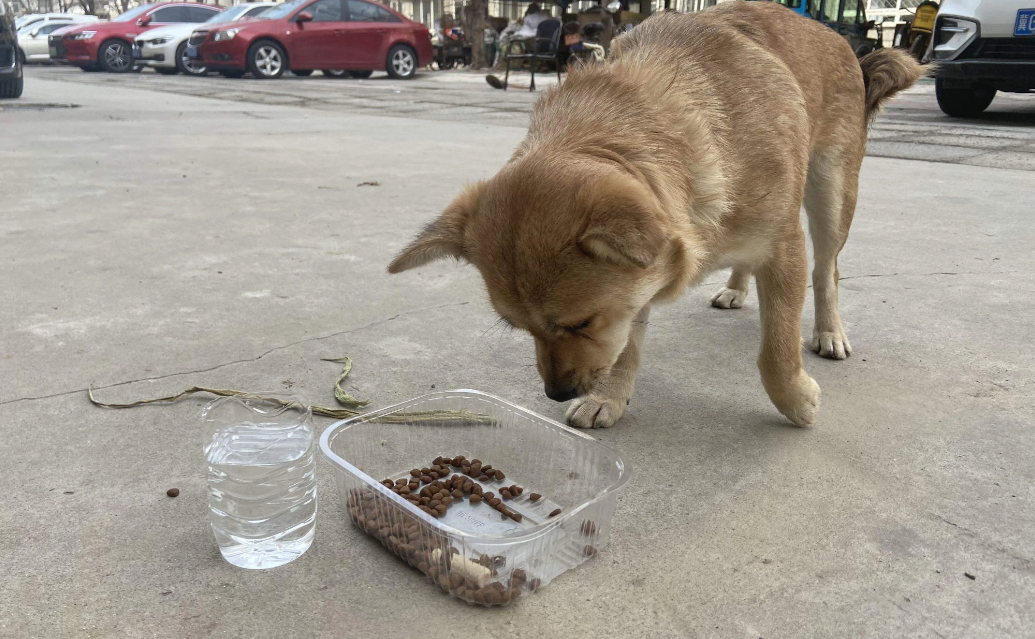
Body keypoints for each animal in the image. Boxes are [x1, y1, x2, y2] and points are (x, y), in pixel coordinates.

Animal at [389, 3, 923, 428]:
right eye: (520, 329)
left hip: (832, 196)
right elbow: (628, 341)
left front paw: (795, 400)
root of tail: (841, 41)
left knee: (827, 269)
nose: (556, 393)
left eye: (581, 323)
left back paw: (829, 331)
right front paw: (610, 396)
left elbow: (776, 349)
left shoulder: (783, 246)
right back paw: (736, 286)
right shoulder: (638, 282)